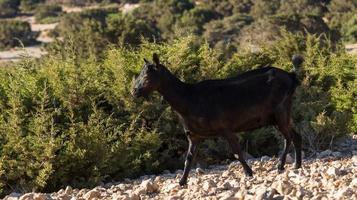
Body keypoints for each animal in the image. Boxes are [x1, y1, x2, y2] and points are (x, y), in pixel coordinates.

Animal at [131, 53, 304, 186]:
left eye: (147, 74)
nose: (134, 91)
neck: (189, 100)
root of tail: (291, 76)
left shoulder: (225, 128)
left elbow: (237, 152)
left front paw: (249, 173)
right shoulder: (194, 135)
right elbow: (188, 159)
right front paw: (181, 182)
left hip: (280, 110)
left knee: (288, 137)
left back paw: (280, 166)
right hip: (276, 116)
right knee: (296, 136)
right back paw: (297, 165)